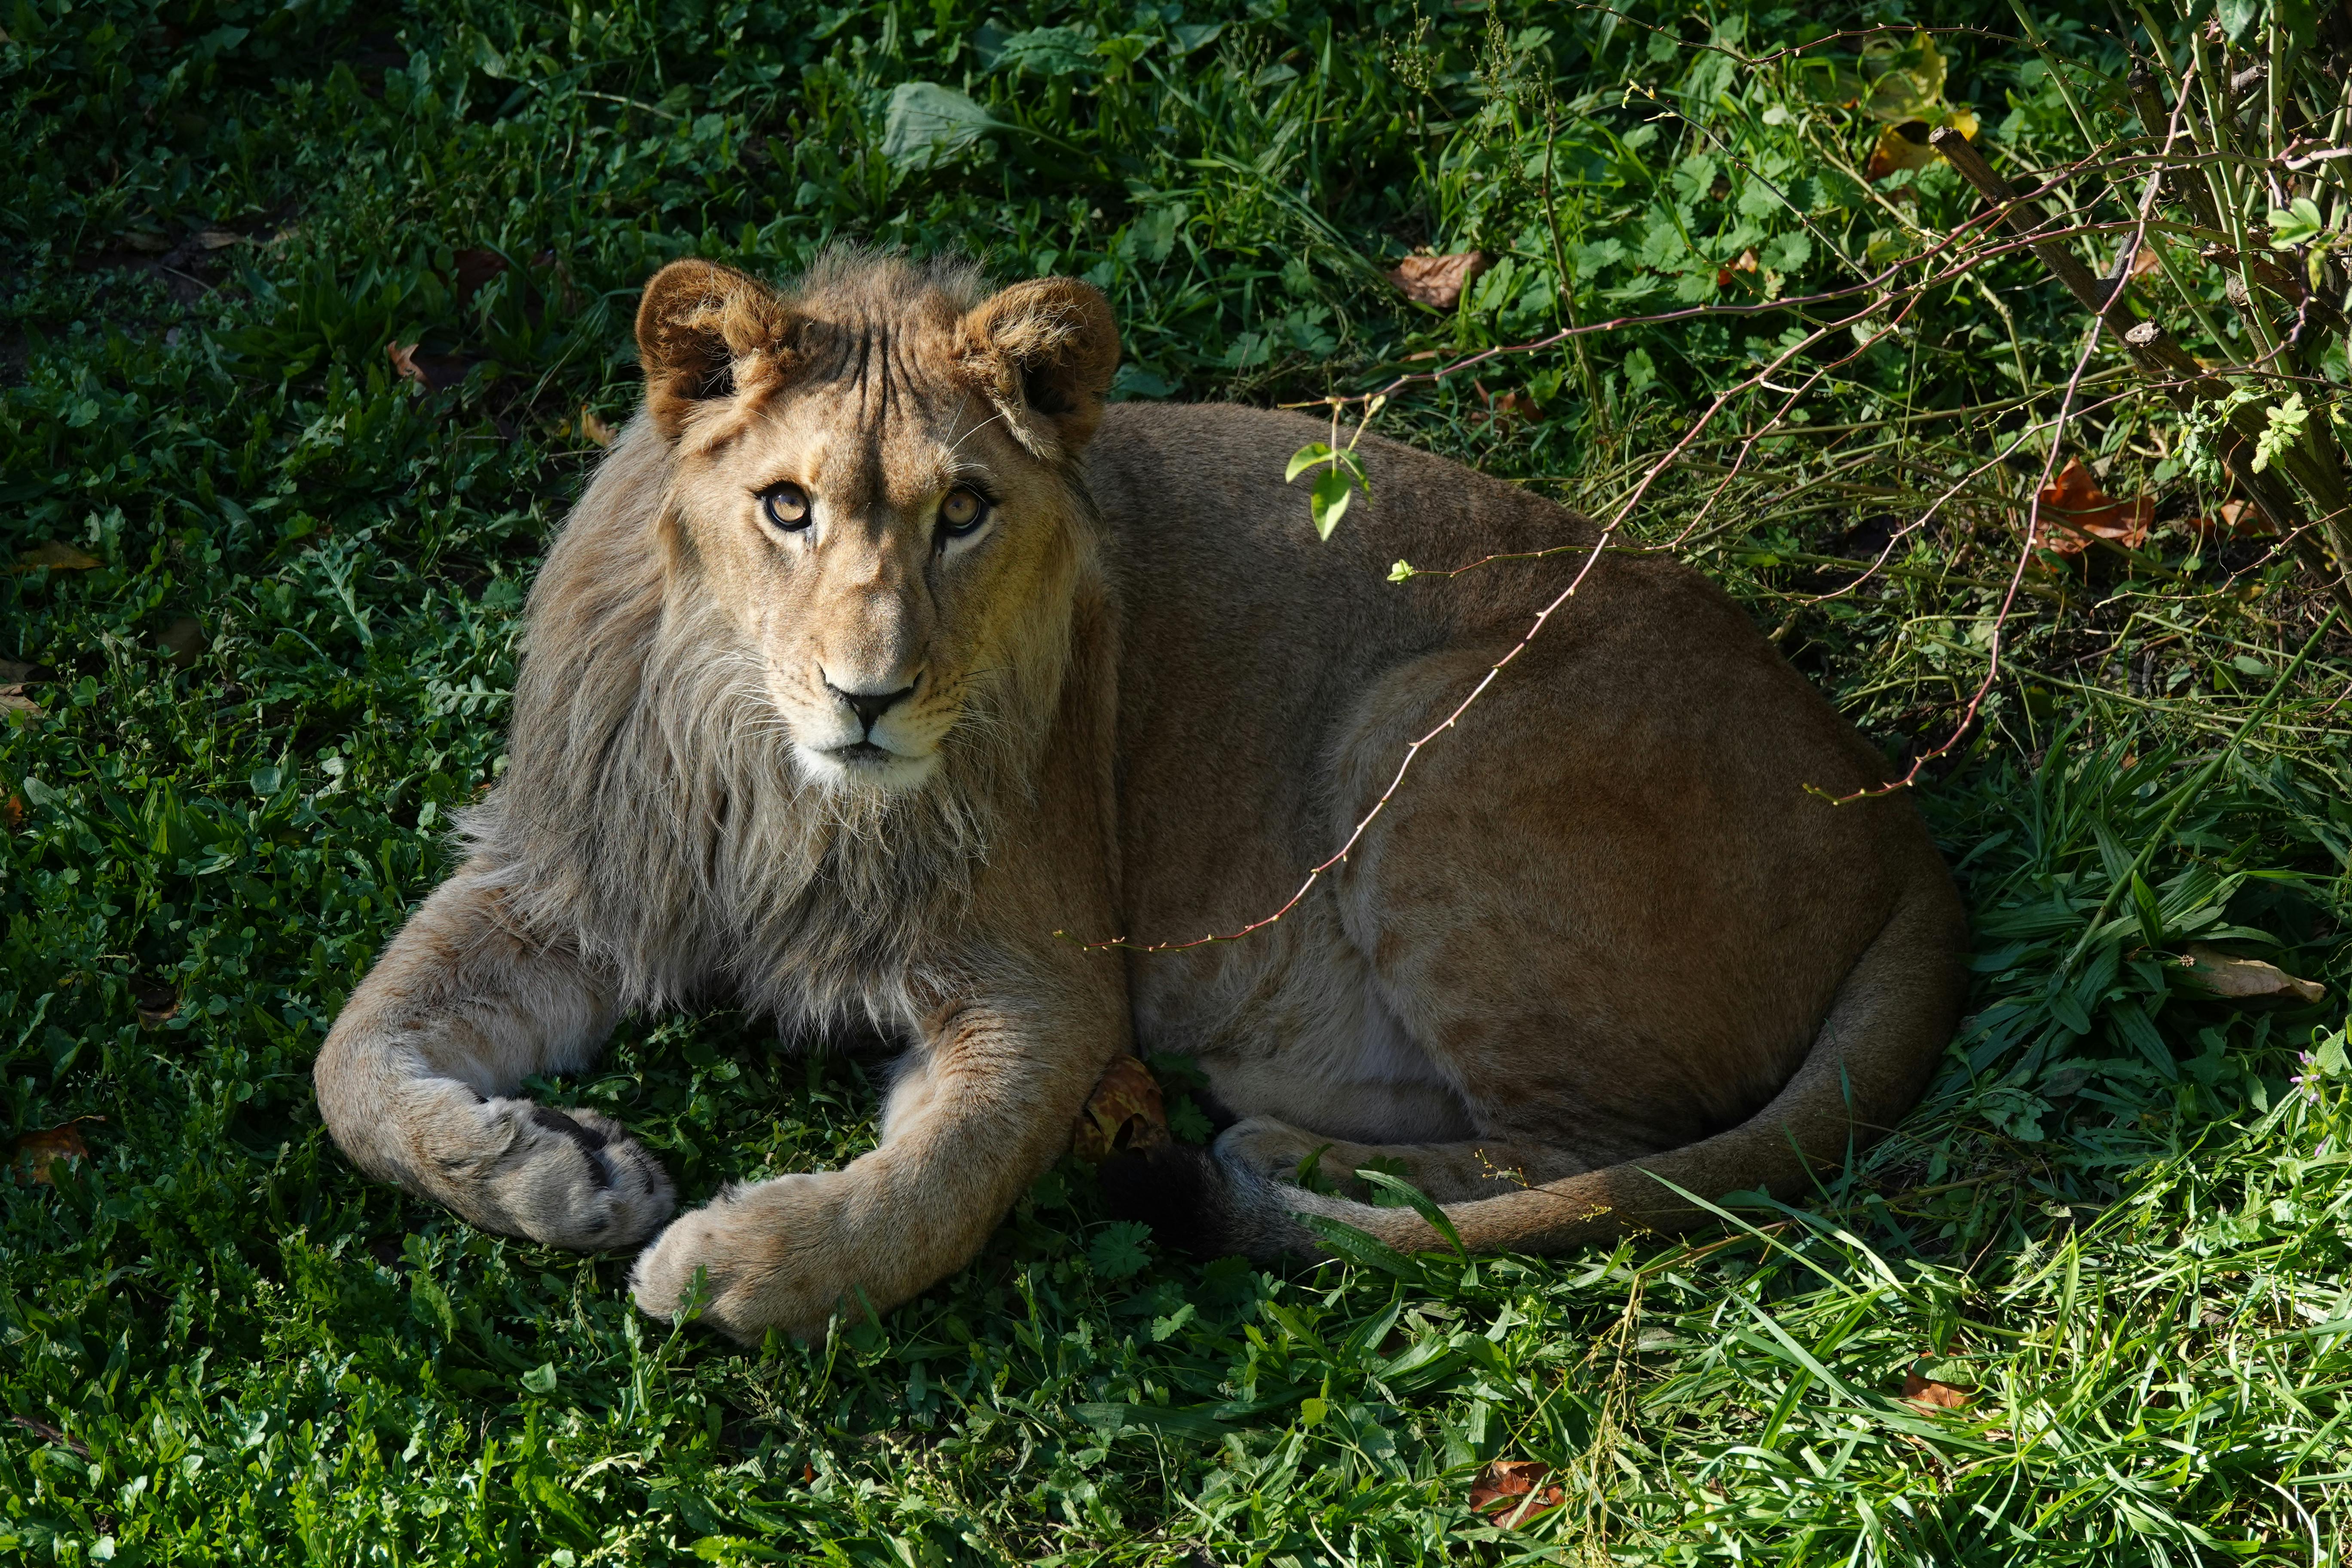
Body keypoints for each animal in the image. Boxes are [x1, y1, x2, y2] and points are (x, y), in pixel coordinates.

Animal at [312, 251, 1967, 1341]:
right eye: (785, 506)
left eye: (964, 510)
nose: (871, 693)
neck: (772, 781)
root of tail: (1894, 816)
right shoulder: (572, 871)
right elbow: (348, 1066)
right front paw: (555, 1171)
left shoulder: (1044, 982)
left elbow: (945, 1181)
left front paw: (747, 1263)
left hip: (1411, 731)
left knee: (1581, 1152)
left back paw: (1286, 1166)